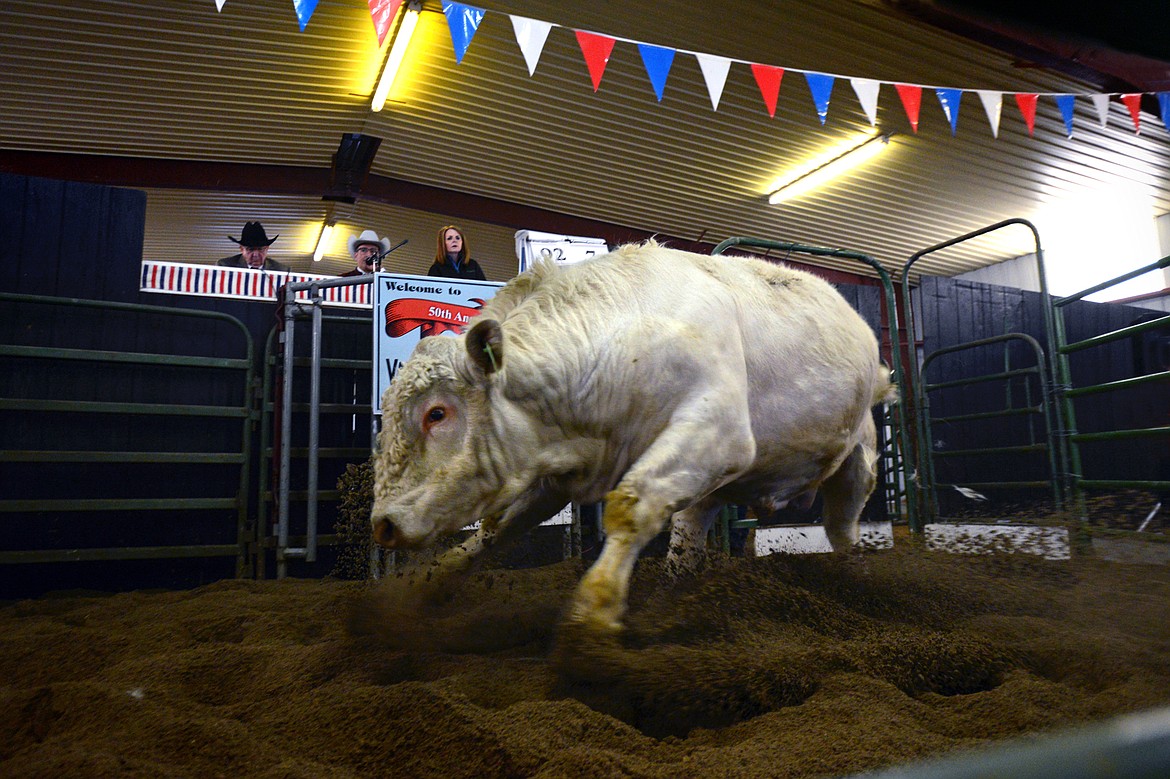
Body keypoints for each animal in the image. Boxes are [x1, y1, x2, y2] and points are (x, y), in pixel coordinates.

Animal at [372, 243, 893, 631]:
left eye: (437, 413)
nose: (383, 524)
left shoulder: (719, 432)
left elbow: (630, 507)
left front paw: (592, 617)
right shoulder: (552, 472)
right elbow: (494, 529)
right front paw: (411, 599)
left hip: (858, 461)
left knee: (843, 530)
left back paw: (860, 583)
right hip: (706, 485)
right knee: (688, 538)